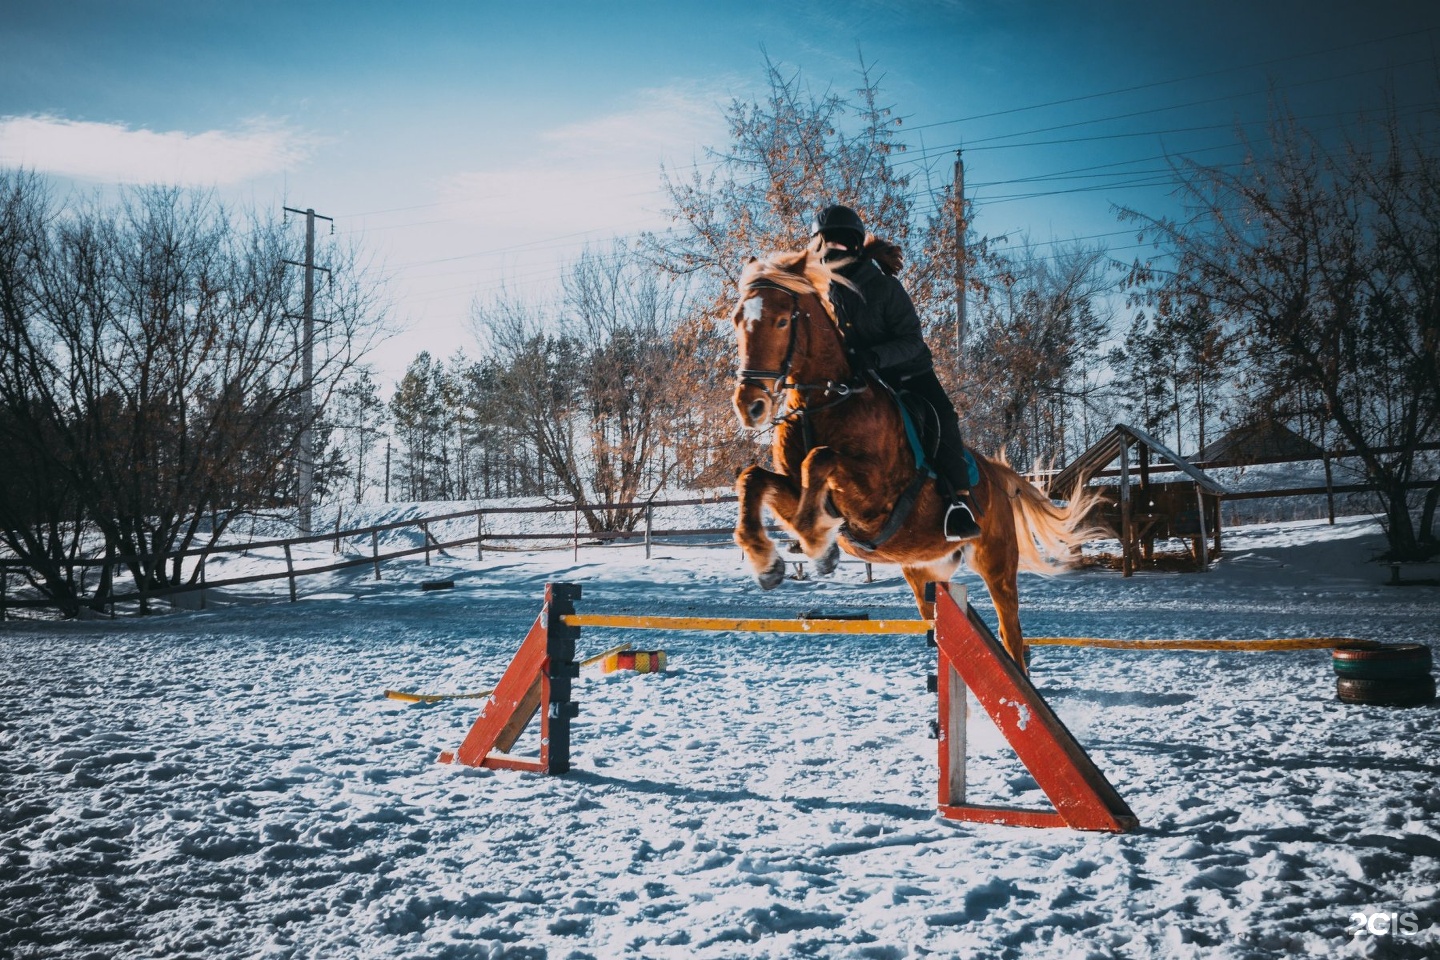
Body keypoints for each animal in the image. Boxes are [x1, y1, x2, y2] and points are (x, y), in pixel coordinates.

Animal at [731, 241, 1100, 676]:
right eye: (738, 319)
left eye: (781, 321)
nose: (750, 406)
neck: (823, 402)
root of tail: (994, 474)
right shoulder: (795, 487)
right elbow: (754, 478)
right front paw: (767, 562)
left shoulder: (875, 501)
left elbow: (820, 460)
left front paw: (819, 547)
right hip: (924, 570)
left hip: (994, 562)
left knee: (1011, 631)